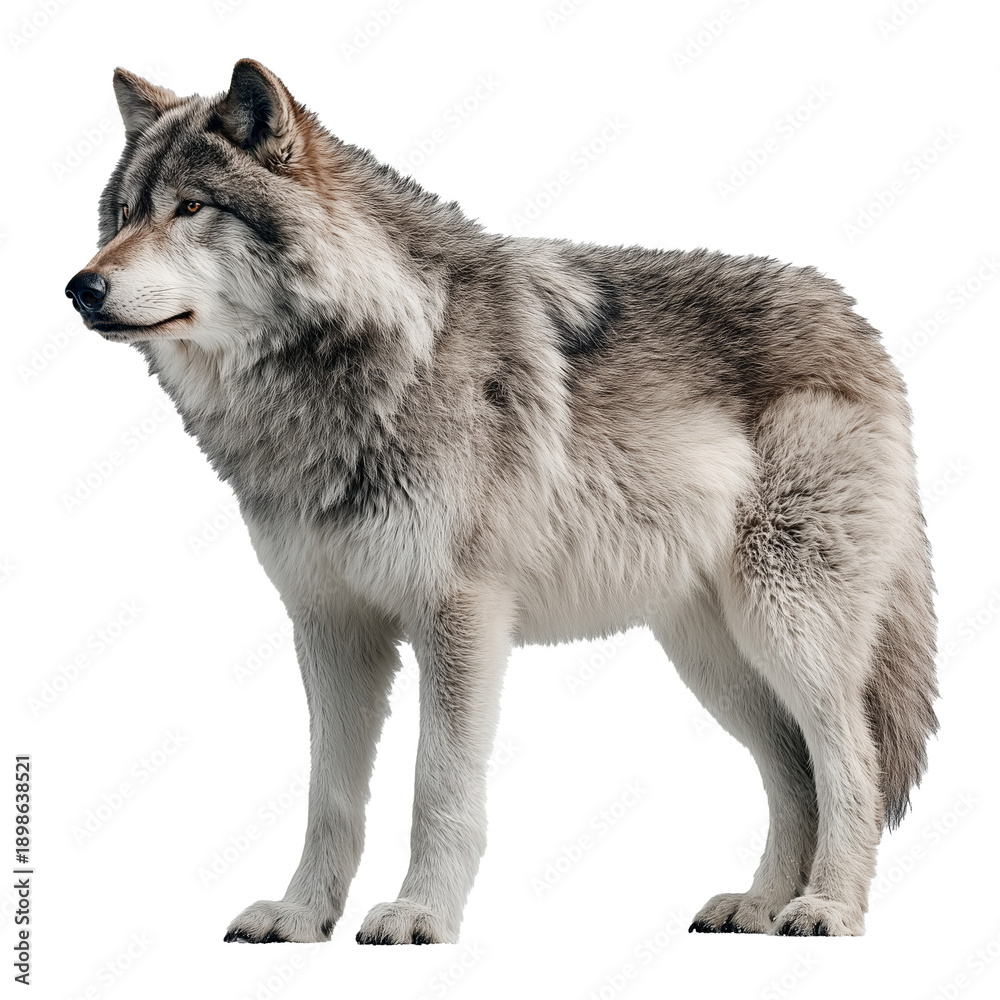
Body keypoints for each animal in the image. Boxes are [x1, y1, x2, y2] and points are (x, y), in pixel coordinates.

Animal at [65, 59, 937, 942]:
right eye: (124, 214)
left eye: (191, 208)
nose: (81, 286)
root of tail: (860, 325)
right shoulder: (331, 625)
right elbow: (328, 796)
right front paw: (303, 916)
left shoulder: (459, 613)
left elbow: (438, 786)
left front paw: (420, 914)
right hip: (710, 653)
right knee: (790, 766)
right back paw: (759, 905)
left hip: (784, 622)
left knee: (850, 758)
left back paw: (826, 907)